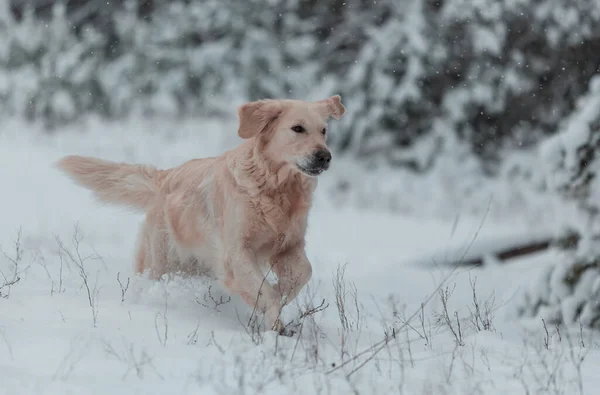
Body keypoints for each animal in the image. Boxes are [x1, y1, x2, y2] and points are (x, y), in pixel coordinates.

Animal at [57, 95, 346, 334]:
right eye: (298, 128)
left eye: (324, 130)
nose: (325, 156)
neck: (277, 187)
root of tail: (164, 178)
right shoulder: (236, 252)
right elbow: (264, 290)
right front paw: (273, 320)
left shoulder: (288, 244)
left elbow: (303, 273)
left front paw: (277, 297)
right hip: (159, 263)